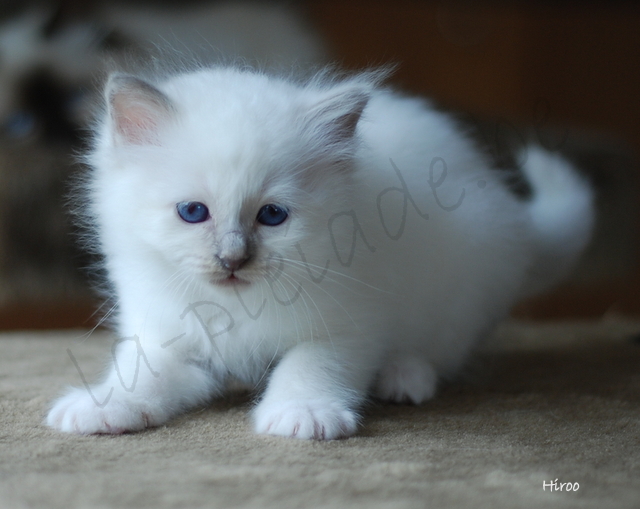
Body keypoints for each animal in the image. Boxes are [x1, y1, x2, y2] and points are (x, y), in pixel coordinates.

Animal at [46, 68, 596, 440]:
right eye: (192, 212)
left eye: (272, 216)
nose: (232, 259)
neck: (237, 310)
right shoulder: (165, 334)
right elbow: (141, 373)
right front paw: (102, 406)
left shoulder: (351, 321)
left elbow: (308, 366)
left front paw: (301, 415)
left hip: (468, 274)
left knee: (438, 352)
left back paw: (404, 377)